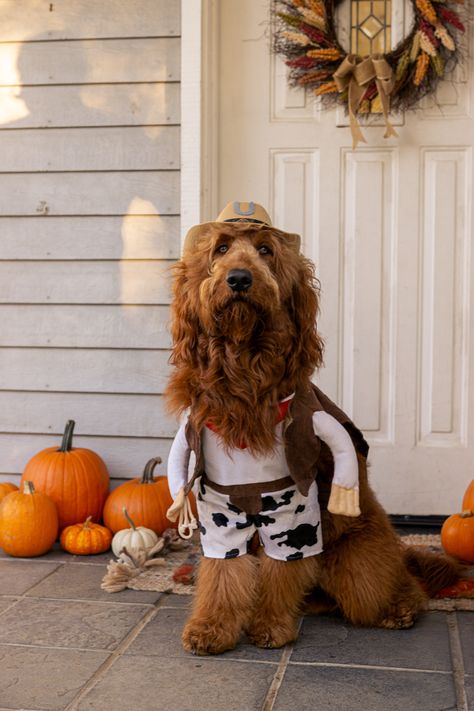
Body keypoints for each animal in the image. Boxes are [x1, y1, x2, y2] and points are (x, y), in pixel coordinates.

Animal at [166, 217, 460, 656]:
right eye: (221, 248)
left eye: (266, 250)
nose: (239, 279)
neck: (243, 371)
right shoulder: (219, 508)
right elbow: (223, 573)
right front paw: (211, 627)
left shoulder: (293, 510)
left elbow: (282, 573)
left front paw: (272, 625)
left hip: (357, 565)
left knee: (387, 586)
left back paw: (400, 606)